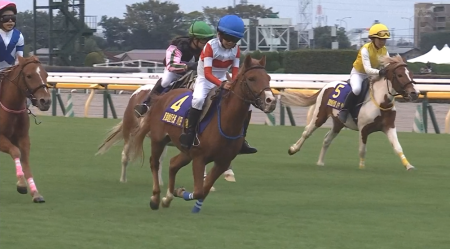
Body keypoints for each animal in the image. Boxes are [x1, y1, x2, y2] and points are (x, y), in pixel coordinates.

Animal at [0, 56, 51, 202]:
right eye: (29, 76)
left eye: (46, 75)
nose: (46, 101)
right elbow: (15, 152)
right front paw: (21, 184)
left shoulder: (23, 138)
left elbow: (26, 161)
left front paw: (35, 193)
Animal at [125, 54, 276, 212]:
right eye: (252, 78)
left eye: (268, 77)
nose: (271, 101)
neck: (225, 121)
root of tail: (162, 97)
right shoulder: (199, 157)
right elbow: (198, 191)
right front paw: (180, 192)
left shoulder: (223, 161)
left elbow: (205, 189)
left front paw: (184, 197)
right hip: (158, 139)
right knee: (154, 163)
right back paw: (155, 198)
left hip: (186, 150)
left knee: (173, 164)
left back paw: (167, 198)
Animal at [280, 55, 420, 169]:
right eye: (400, 75)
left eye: (411, 74)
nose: (415, 93)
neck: (380, 102)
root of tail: (326, 86)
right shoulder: (363, 129)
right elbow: (362, 150)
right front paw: (361, 168)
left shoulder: (389, 126)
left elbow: (397, 147)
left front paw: (409, 166)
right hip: (320, 116)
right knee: (307, 132)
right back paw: (293, 149)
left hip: (338, 123)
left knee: (327, 139)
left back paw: (320, 162)